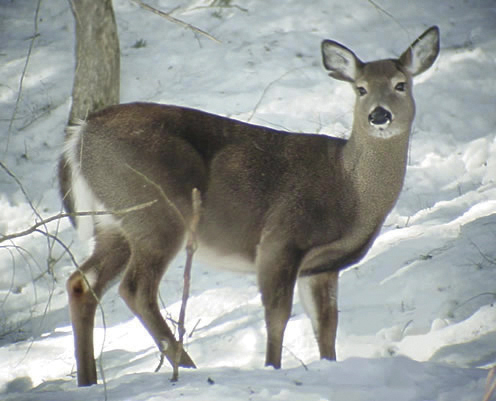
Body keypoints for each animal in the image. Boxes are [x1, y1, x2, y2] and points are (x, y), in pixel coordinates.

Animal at [60, 25, 440, 384]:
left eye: (401, 84)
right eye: (360, 89)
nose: (379, 115)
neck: (349, 189)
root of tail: (81, 135)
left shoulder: (322, 266)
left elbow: (326, 325)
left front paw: (327, 367)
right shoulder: (281, 238)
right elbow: (277, 315)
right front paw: (272, 367)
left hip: (114, 222)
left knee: (82, 282)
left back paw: (89, 380)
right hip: (156, 210)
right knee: (135, 289)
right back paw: (188, 367)